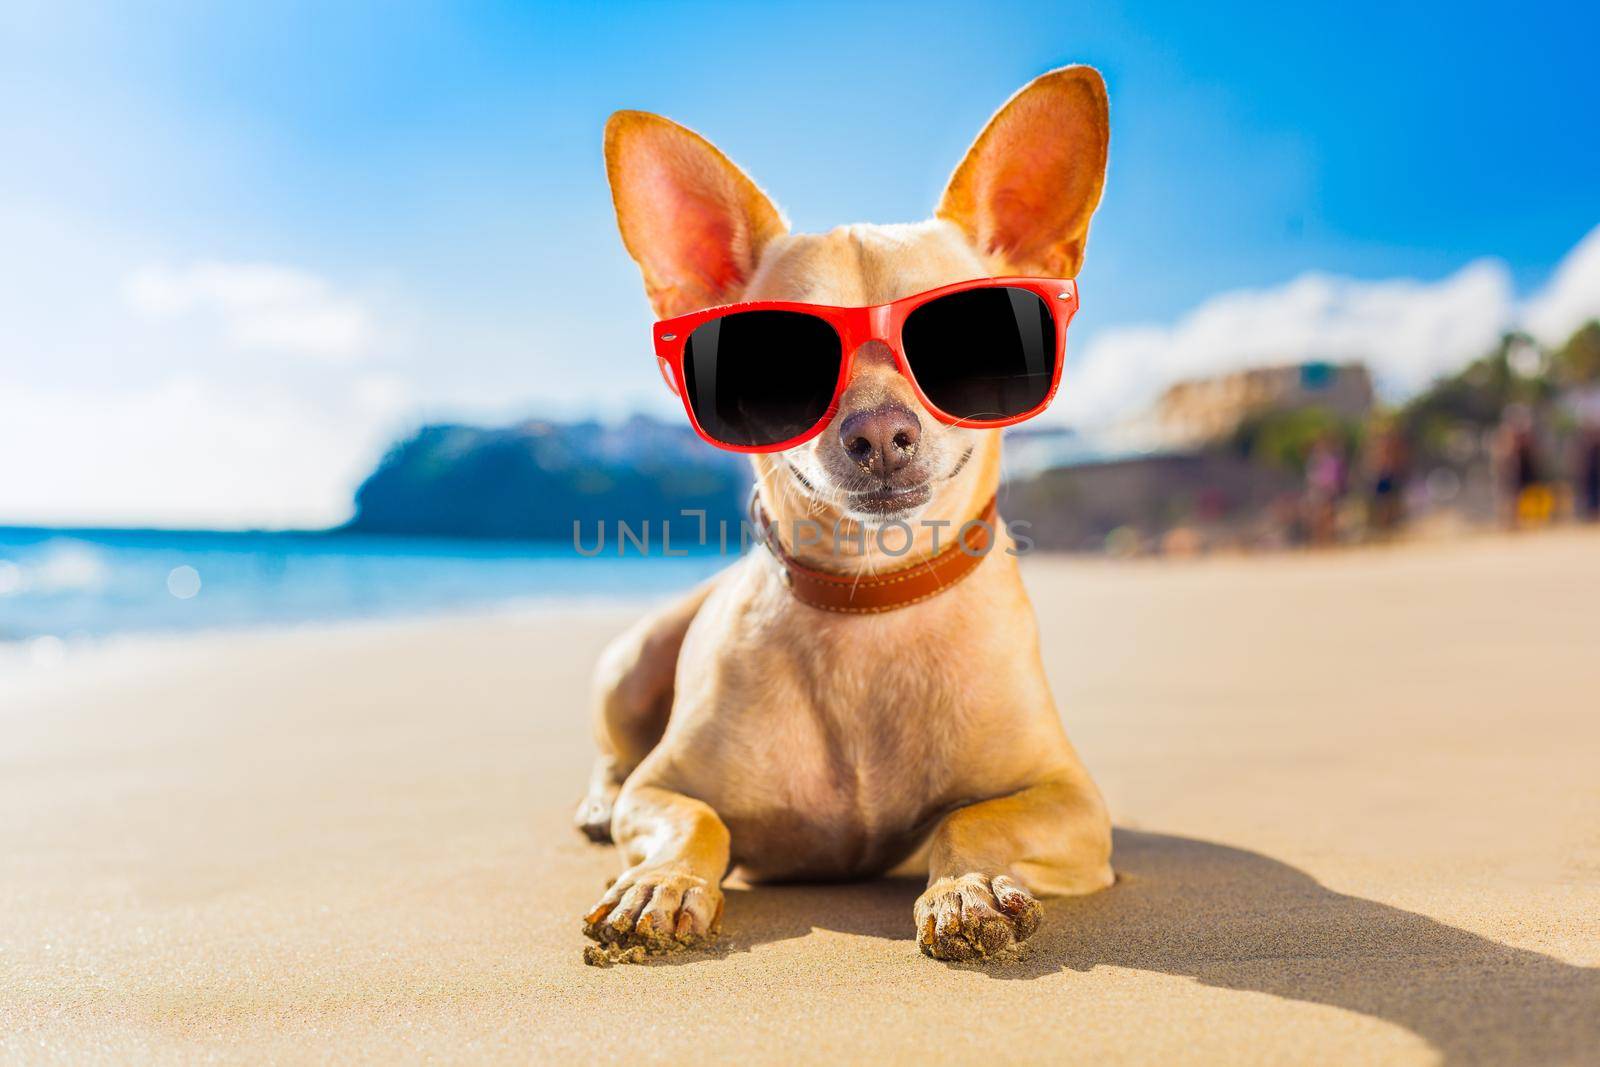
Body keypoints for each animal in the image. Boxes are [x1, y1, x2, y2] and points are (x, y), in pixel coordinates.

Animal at [576, 68, 1113, 966]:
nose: (879, 431)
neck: (871, 598)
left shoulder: (1073, 799)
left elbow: (972, 818)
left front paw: (965, 888)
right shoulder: (663, 787)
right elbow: (696, 816)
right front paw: (663, 881)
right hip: (633, 662)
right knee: (615, 760)